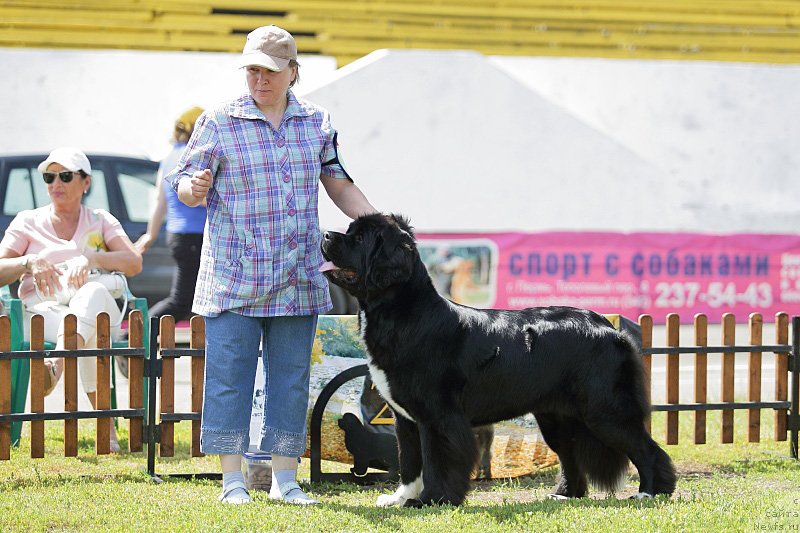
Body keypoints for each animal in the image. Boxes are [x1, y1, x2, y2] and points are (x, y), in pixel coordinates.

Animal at [318, 213, 676, 508]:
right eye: (349, 231)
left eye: (359, 239)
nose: (325, 234)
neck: (404, 314)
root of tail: (610, 327)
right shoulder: (405, 418)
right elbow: (408, 461)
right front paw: (400, 498)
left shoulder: (438, 416)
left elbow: (436, 460)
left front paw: (431, 499)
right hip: (558, 417)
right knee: (570, 453)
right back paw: (564, 493)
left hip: (604, 409)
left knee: (645, 447)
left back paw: (651, 491)